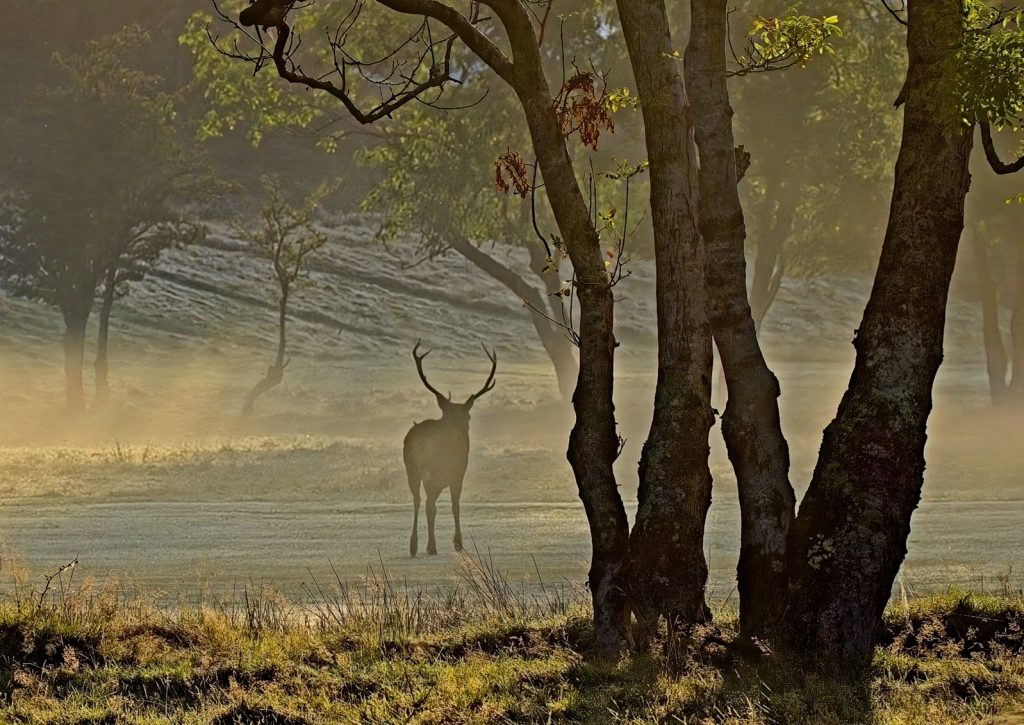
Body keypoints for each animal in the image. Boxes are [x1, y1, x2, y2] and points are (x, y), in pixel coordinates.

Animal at [404, 340, 497, 557]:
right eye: (469, 416)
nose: (467, 422)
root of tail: (420, 441)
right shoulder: (458, 474)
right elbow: (456, 506)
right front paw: (458, 542)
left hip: (411, 468)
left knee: (417, 500)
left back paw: (413, 545)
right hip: (435, 470)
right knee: (430, 504)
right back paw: (431, 546)